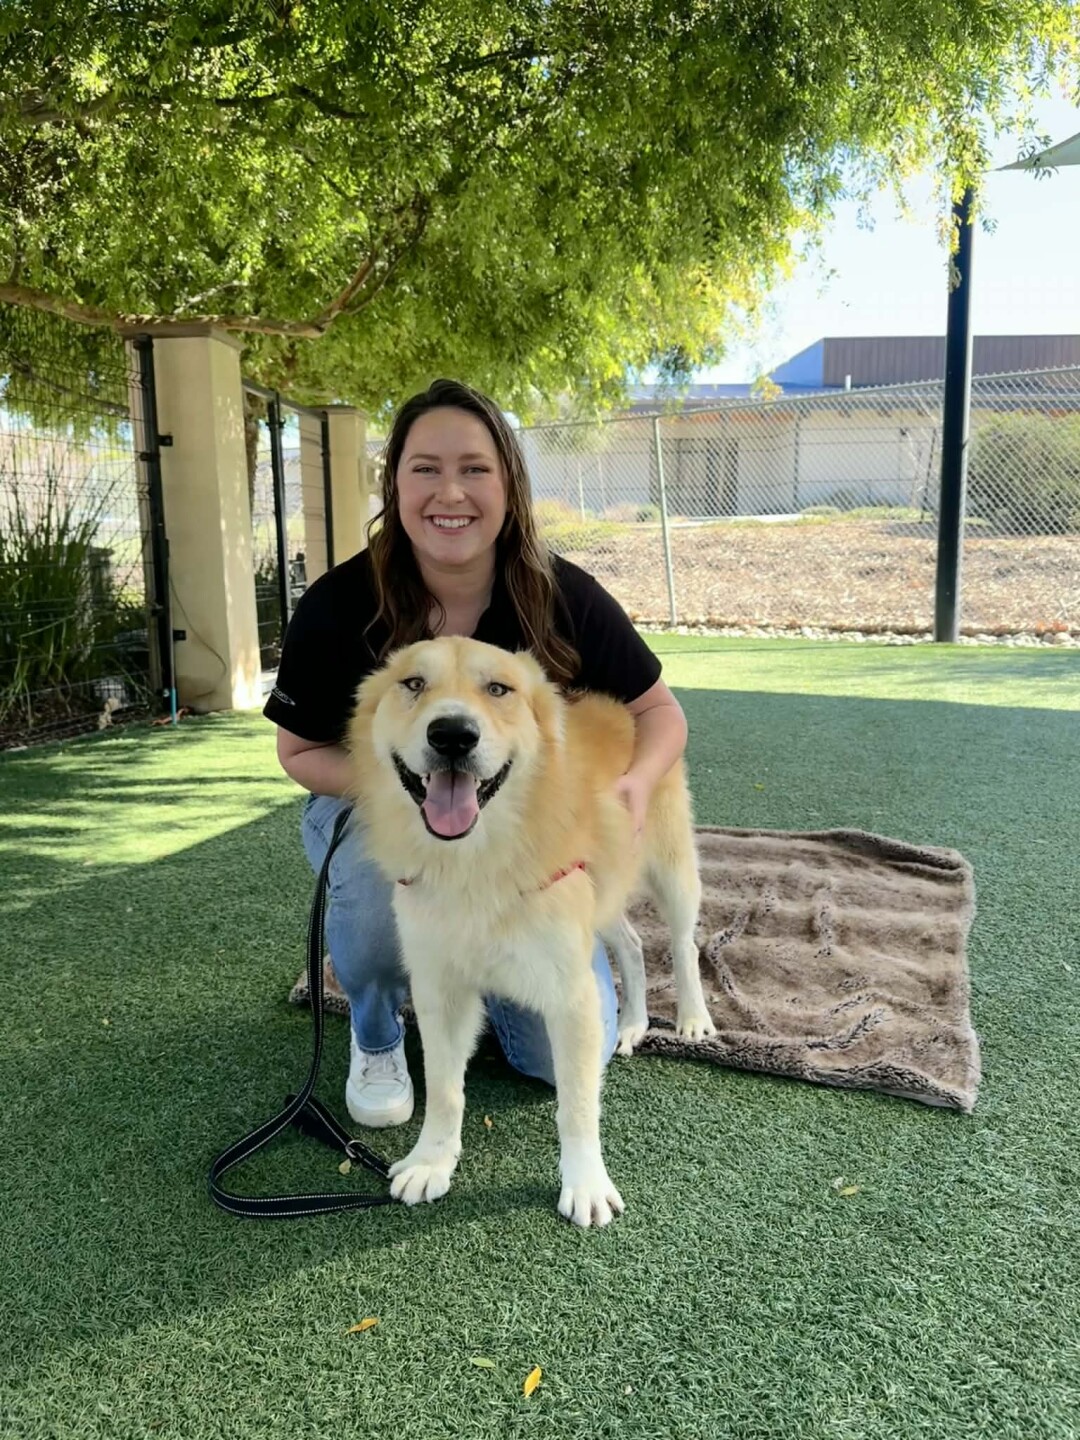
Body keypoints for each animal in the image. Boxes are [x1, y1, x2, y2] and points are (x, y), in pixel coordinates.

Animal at [347, 636, 715, 1226]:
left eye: (499, 689)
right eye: (413, 684)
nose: (453, 734)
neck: (475, 863)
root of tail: (617, 707)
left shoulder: (571, 995)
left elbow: (577, 1105)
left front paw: (586, 1184)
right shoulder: (440, 990)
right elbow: (445, 1090)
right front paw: (431, 1161)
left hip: (671, 871)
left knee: (684, 944)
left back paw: (693, 1018)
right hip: (602, 897)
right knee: (634, 945)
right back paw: (632, 1024)